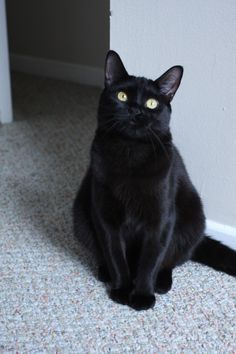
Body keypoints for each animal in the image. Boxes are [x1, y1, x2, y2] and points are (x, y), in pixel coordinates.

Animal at [73, 49, 235, 310]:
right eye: (121, 96)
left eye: (152, 103)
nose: (136, 111)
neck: (130, 152)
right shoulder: (106, 216)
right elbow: (115, 255)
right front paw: (122, 289)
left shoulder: (160, 219)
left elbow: (150, 261)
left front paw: (141, 296)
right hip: (80, 215)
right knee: (104, 254)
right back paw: (105, 273)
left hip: (192, 219)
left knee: (170, 260)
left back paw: (161, 283)